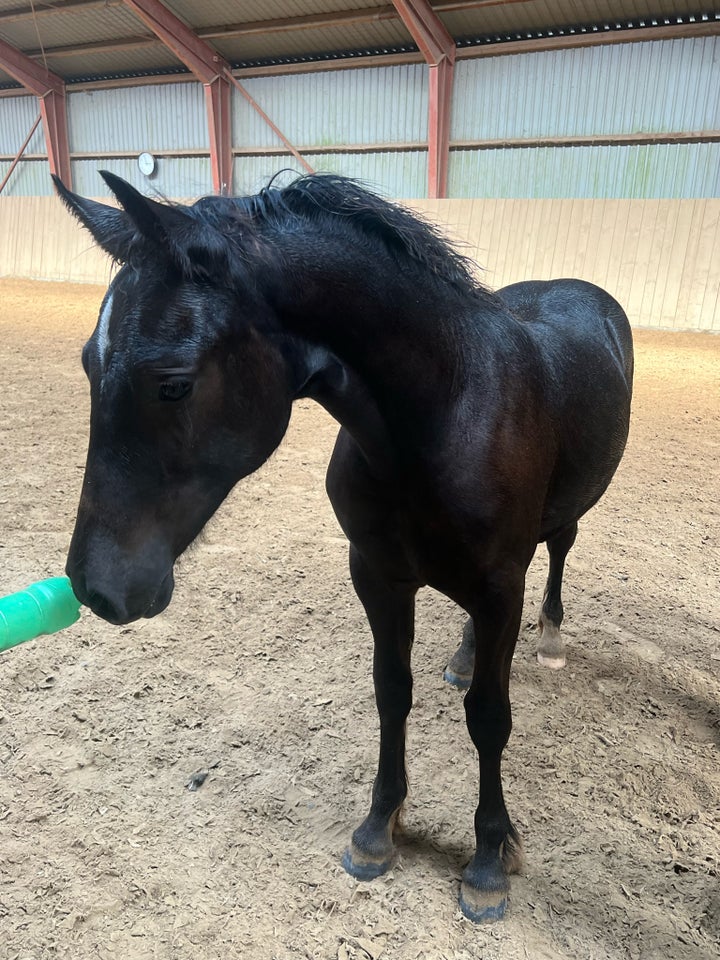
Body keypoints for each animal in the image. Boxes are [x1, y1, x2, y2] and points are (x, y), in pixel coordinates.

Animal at [53, 172, 632, 924]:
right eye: (89, 365)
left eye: (174, 383)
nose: (95, 586)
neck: (444, 415)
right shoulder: (378, 575)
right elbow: (391, 692)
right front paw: (377, 830)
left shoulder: (502, 585)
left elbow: (489, 719)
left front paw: (488, 859)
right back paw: (465, 655)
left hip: (557, 528)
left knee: (559, 550)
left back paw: (551, 638)